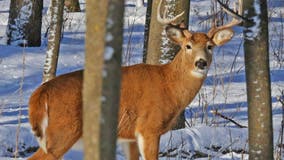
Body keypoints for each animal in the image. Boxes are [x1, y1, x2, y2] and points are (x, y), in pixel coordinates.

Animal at [27, 0, 243, 160]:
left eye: (210, 46)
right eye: (187, 46)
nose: (201, 63)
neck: (169, 85)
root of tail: (39, 94)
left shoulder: (128, 137)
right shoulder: (149, 127)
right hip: (61, 133)